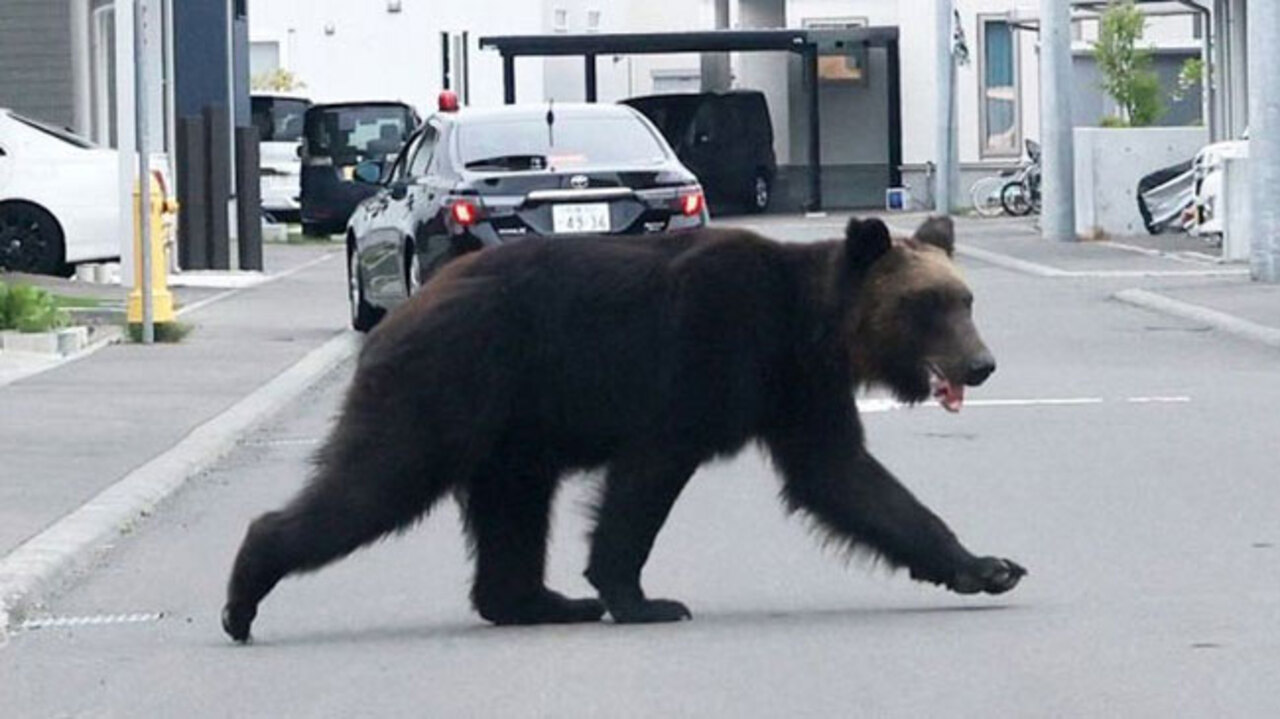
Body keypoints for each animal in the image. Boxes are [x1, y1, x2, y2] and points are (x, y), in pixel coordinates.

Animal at [217, 213, 1018, 637]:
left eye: (966, 298)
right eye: (929, 305)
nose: (981, 364)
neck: (804, 326)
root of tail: (401, 309)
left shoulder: (796, 390)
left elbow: (846, 478)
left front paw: (988, 565)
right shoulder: (703, 355)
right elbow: (645, 484)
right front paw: (642, 597)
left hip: (514, 430)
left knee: (512, 508)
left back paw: (537, 601)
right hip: (450, 383)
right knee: (377, 478)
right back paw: (244, 591)